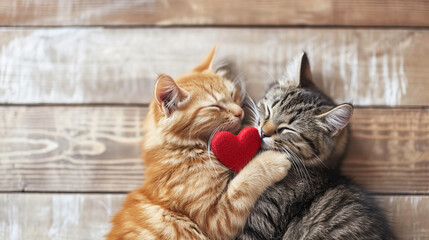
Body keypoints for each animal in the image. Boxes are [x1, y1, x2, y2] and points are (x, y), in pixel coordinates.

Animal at [106, 47, 290, 240]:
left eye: (232, 94)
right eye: (215, 106)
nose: (240, 112)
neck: (183, 149)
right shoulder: (216, 219)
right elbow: (244, 181)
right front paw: (272, 160)